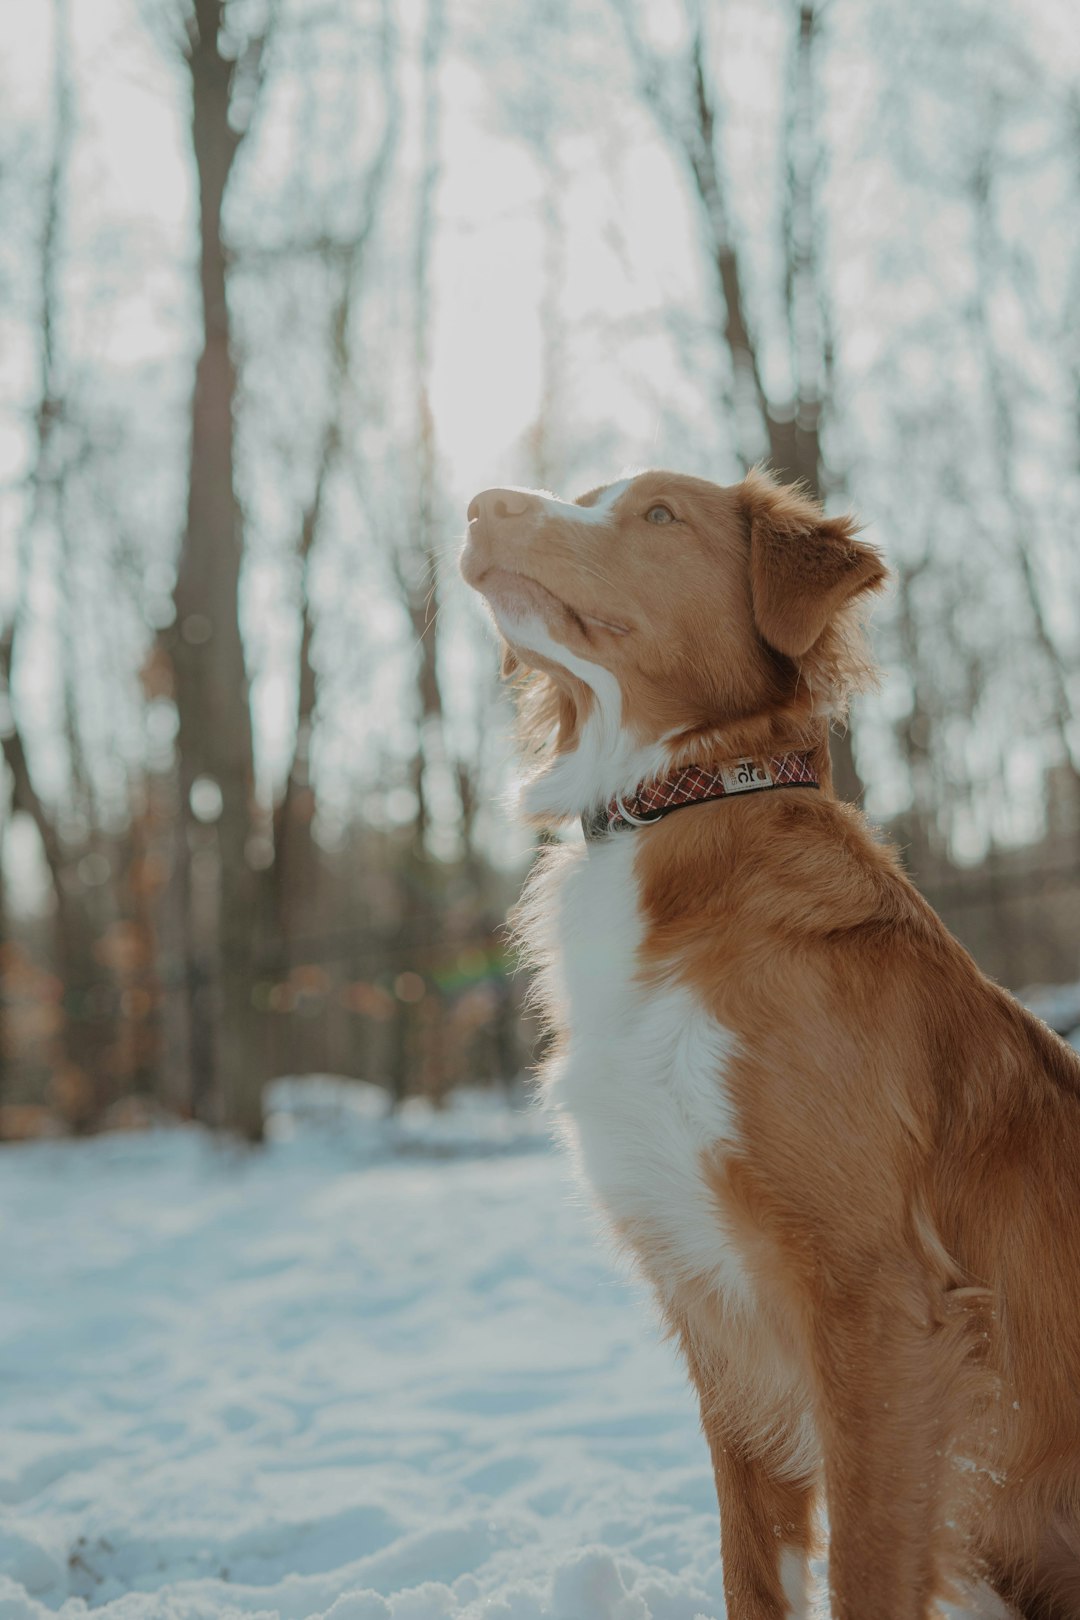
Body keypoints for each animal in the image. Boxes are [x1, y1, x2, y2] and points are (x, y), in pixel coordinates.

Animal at [459, 469, 1080, 1620]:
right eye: (584, 493)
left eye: (659, 515)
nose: (481, 504)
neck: (676, 806)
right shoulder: (717, 1310)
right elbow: (756, 1570)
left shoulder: (880, 1304)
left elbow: (870, 1569)